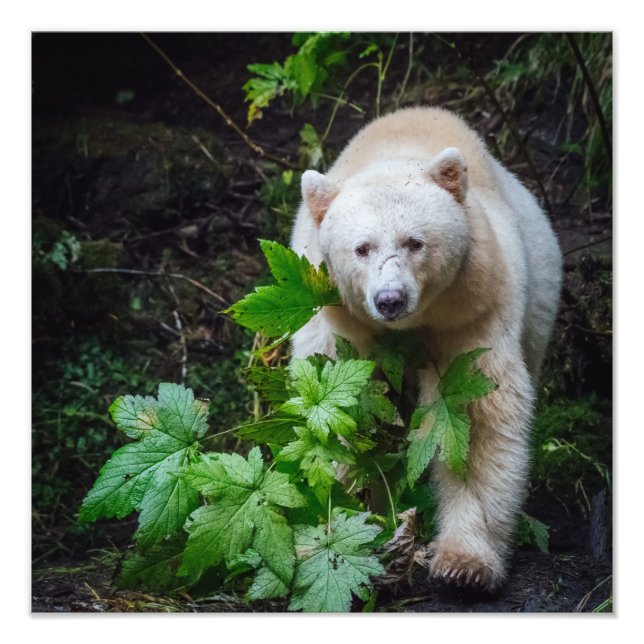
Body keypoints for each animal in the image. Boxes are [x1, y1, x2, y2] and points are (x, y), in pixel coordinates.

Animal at [289, 106, 563, 591]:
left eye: (414, 242)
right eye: (361, 248)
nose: (390, 299)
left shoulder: (472, 308)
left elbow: (468, 416)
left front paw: (465, 562)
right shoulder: (339, 323)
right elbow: (334, 406)